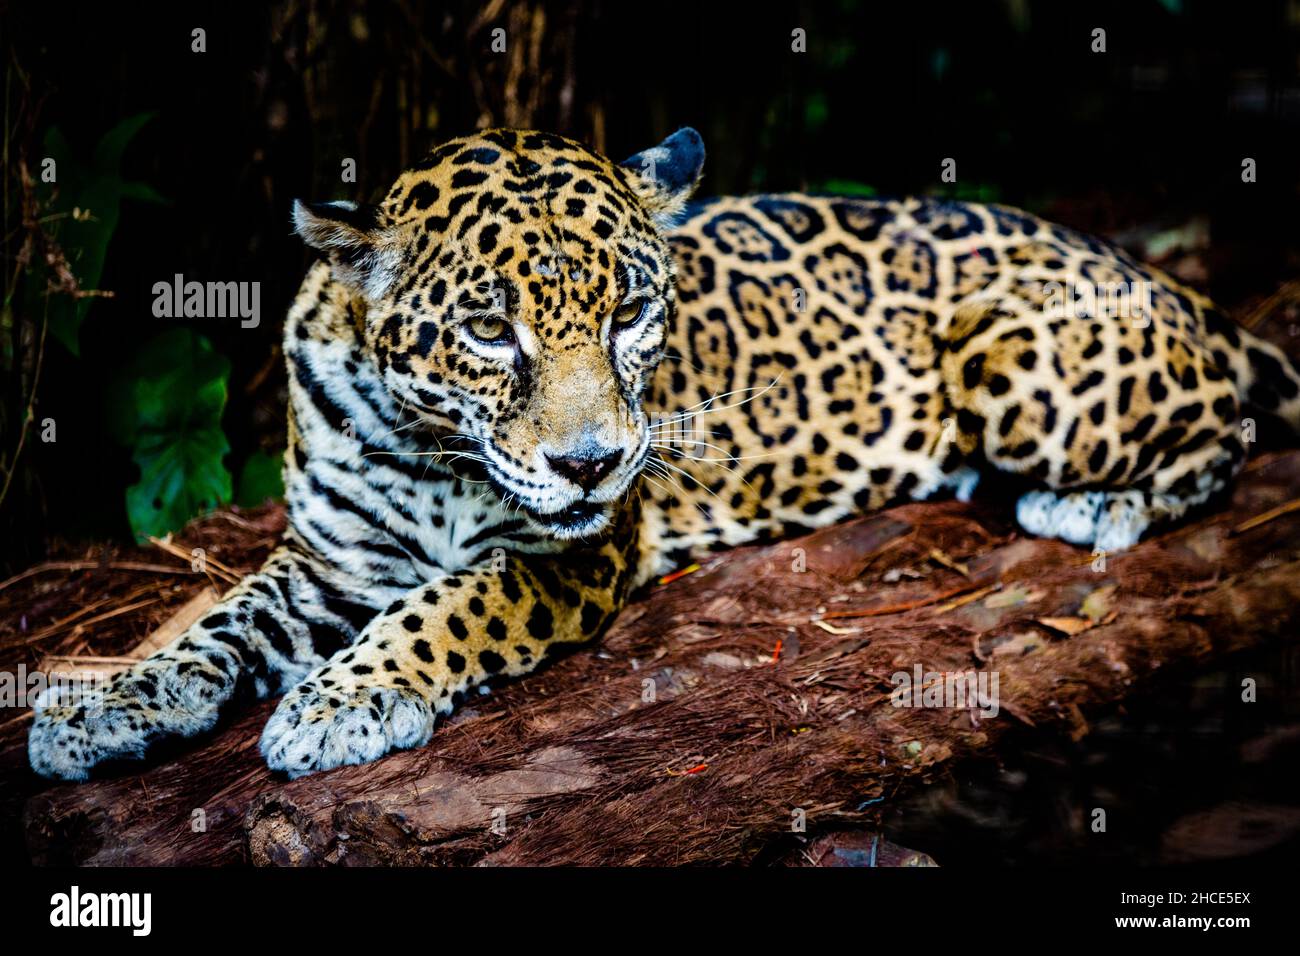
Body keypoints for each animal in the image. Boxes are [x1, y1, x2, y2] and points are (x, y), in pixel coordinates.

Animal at [29, 126, 1300, 780]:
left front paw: (343, 700)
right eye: (486, 328)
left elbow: (446, 605)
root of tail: (1151, 271)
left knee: (1222, 429)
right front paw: (104, 703)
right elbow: (218, 619)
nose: (593, 463)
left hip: (1017, 357)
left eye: (632, 313)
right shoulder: (332, 558)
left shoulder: (567, 553)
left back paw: (1087, 507)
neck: (427, 443)